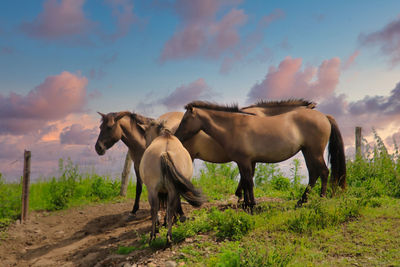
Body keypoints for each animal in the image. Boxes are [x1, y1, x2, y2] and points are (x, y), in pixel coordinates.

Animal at [175, 101, 346, 210]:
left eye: (185, 120)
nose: (176, 136)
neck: (233, 127)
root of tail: (324, 117)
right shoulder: (243, 162)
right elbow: (246, 181)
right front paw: (247, 203)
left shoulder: (245, 161)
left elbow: (249, 182)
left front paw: (251, 204)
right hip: (308, 152)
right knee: (314, 174)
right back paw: (301, 201)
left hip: (314, 152)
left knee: (323, 172)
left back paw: (321, 199)